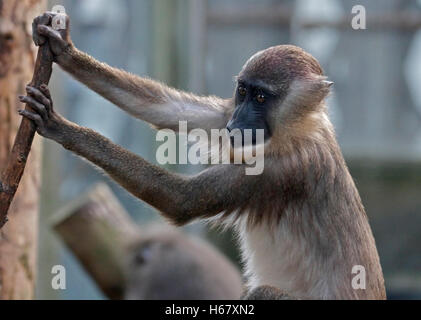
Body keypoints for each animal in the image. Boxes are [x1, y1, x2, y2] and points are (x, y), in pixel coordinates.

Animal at [21, 11, 386, 298]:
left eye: (262, 97)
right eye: (243, 91)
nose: (238, 121)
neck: (296, 129)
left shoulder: (283, 171)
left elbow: (182, 200)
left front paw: (63, 128)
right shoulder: (230, 115)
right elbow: (168, 110)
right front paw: (63, 48)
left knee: (264, 293)